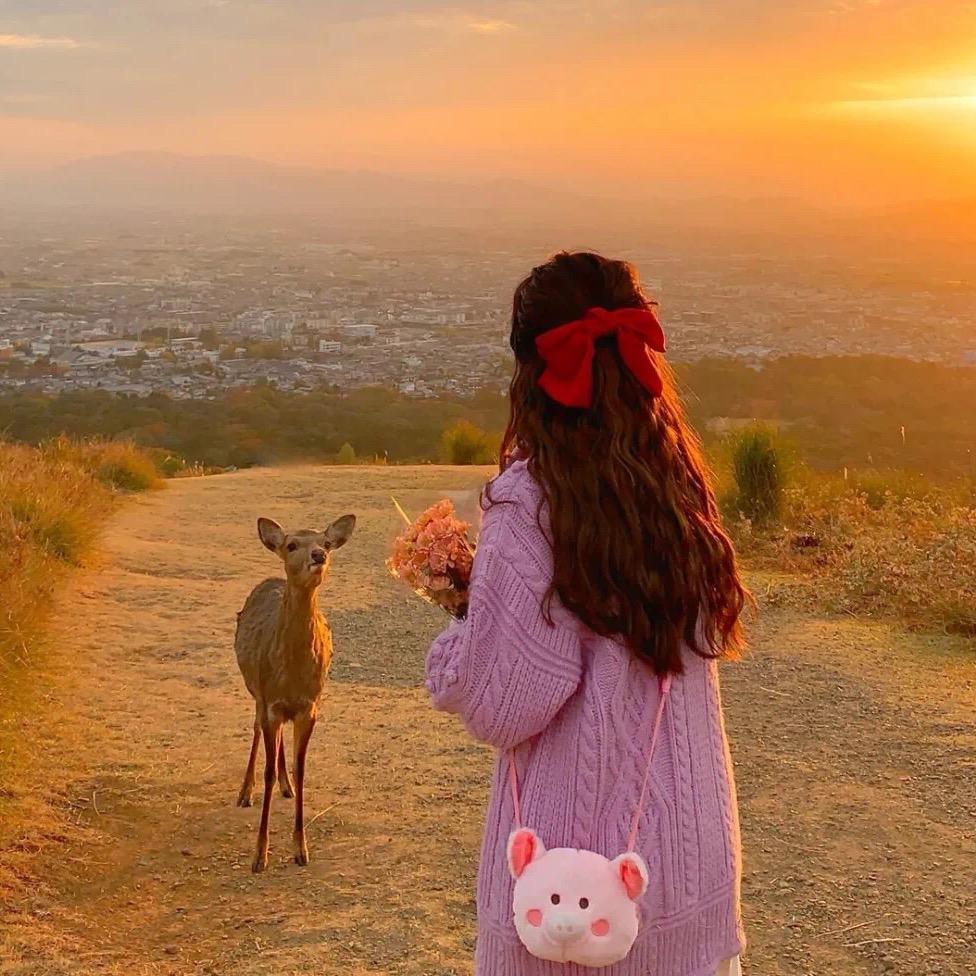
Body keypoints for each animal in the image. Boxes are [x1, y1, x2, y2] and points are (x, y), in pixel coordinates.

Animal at [234, 513, 356, 873]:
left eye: (326, 542)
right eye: (291, 545)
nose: (319, 555)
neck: (291, 674)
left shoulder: (309, 706)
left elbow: (302, 770)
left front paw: (301, 849)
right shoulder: (270, 702)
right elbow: (267, 772)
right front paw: (259, 855)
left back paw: (285, 786)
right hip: (255, 691)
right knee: (256, 731)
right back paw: (244, 792)